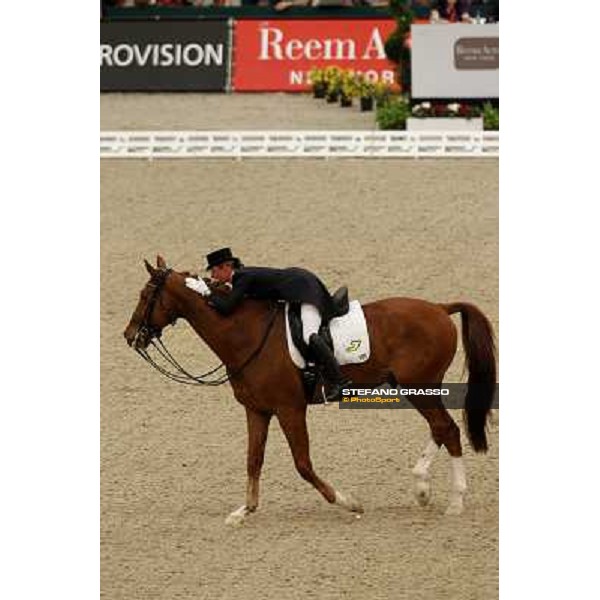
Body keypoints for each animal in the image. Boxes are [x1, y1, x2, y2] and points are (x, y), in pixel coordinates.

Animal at [124, 255, 494, 524]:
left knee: (447, 428)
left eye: (145, 296)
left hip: (419, 386)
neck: (244, 333)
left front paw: (348, 502)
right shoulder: (257, 410)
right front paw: (244, 512)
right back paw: (422, 488)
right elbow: (253, 460)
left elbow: (302, 464)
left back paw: (454, 502)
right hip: (415, 388)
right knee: (441, 428)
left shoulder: (290, 409)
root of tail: (440, 308)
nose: (130, 336)